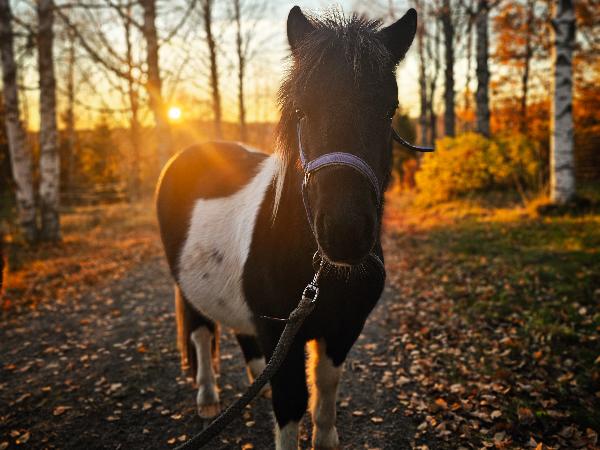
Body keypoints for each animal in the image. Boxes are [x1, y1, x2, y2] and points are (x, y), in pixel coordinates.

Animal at [156, 6, 417, 449]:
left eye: (389, 110)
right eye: (302, 111)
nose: (345, 233)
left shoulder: (343, 331)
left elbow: (325, 392)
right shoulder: (284, 336)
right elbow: (292, 404)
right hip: (184, 285)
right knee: (201, 331)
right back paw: (207, 397)